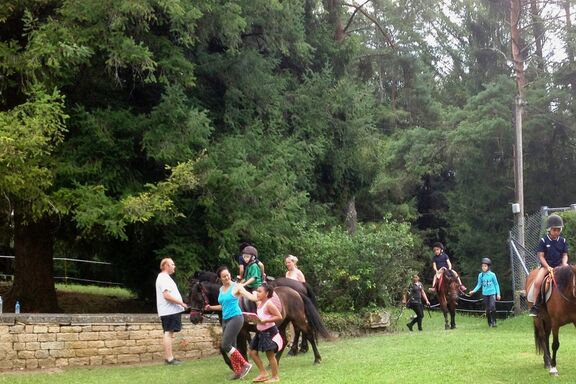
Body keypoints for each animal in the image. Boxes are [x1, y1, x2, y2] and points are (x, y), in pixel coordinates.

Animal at [188, 280, 330, 366]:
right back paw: (274, 362)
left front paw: (243, 364)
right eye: (189, 298)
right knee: (284, 341)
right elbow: (227, 347)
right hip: (282, 323)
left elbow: (241, 348)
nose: (193, 318)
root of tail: (297, 292)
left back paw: (316, 358)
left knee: (308, 334)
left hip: (298, 319)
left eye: (198, 298)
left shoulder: (241, 331)